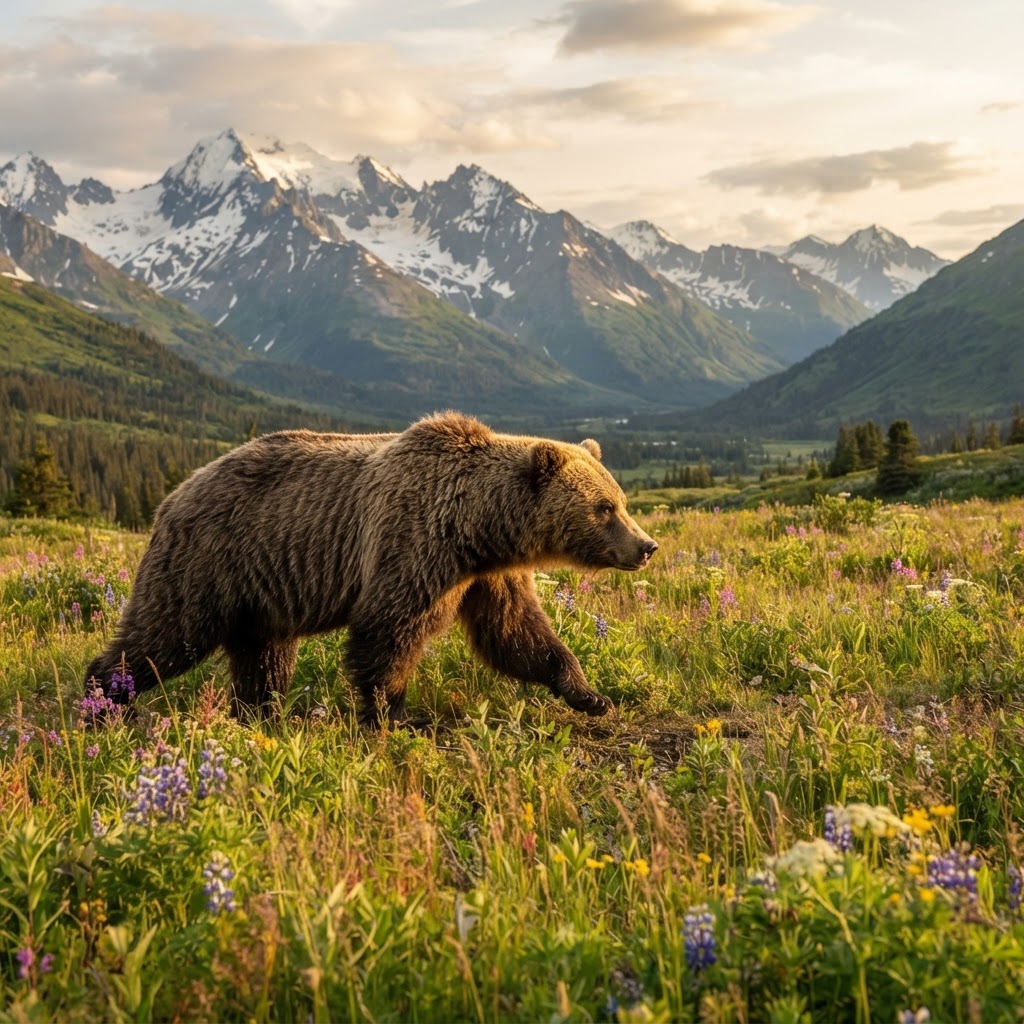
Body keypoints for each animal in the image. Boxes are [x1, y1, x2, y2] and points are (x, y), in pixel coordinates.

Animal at [84, 412, 658, 723]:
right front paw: (395, 713)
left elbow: (517, 632)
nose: (646, 546)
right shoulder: (416, 545)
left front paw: (590, 694)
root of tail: (174, 494)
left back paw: (261, 713)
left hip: (261, 592)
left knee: (263, 659)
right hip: (208, 561)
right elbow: (389, 631)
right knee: (165, 636)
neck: (478, 526)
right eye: (604, 508)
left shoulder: (487, 574)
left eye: (622, 501)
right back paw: (106, 700)